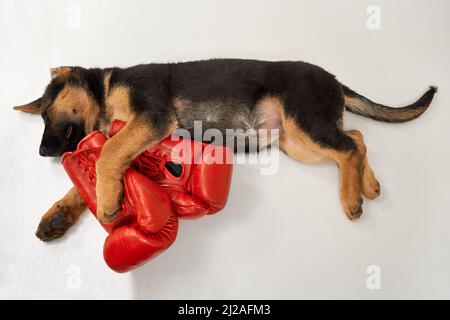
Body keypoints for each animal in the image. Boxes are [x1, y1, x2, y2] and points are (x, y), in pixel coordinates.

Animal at [13, 59, 436, 240]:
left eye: (47, 110)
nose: (42, 152)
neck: (105, 87)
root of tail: (335, 80)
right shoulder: (139, 135)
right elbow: (94, 167)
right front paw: (61, 213)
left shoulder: (150, 118)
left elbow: (107, 154)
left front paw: (105, 201)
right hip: (296, 141)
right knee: (357, 138)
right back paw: (369, 184)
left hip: (304, 122)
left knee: (348, 145)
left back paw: (351, 197)